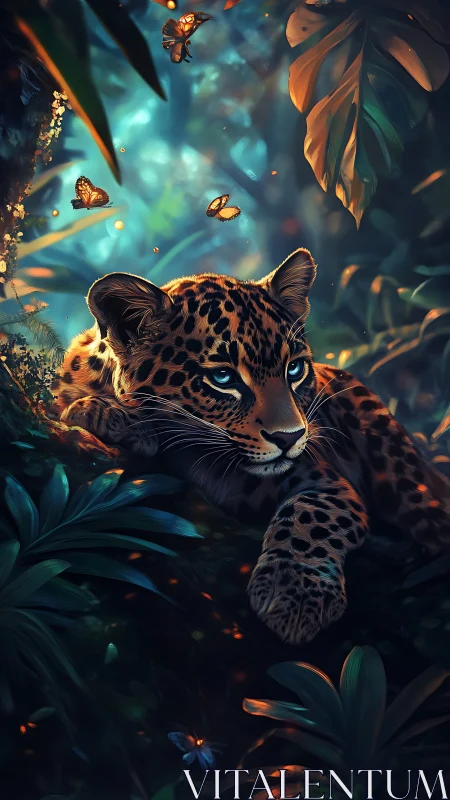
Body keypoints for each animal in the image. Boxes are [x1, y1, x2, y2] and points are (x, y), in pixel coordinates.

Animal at [52, 248, 450, 645]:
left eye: (295, 370)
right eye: (223, 377)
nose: (290, 437)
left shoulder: (323, 480)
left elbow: (312, 515)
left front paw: (296, 593)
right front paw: (104, 412)